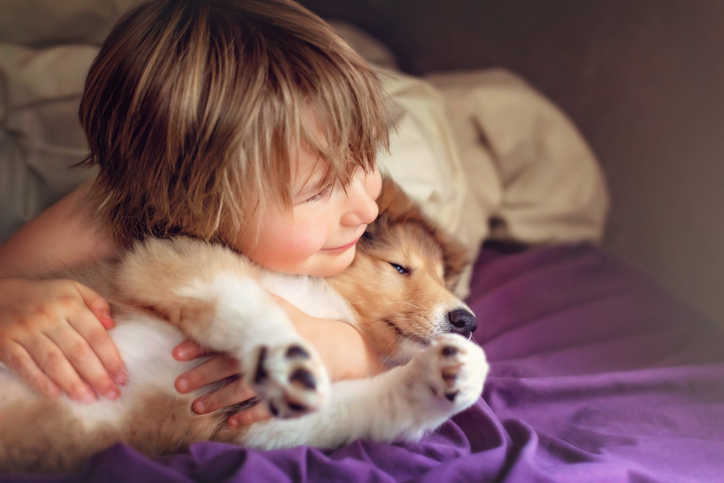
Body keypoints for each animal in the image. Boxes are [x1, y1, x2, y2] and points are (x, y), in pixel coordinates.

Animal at [0, 177, 490, 472]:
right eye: (399, 267)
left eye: (443, 278)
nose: (467, 321)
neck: (323, 302)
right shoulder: (169, 261)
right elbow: (249, 302)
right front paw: (286, 358)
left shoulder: (242, 423)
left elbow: (365, 405)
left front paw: (447, 377)